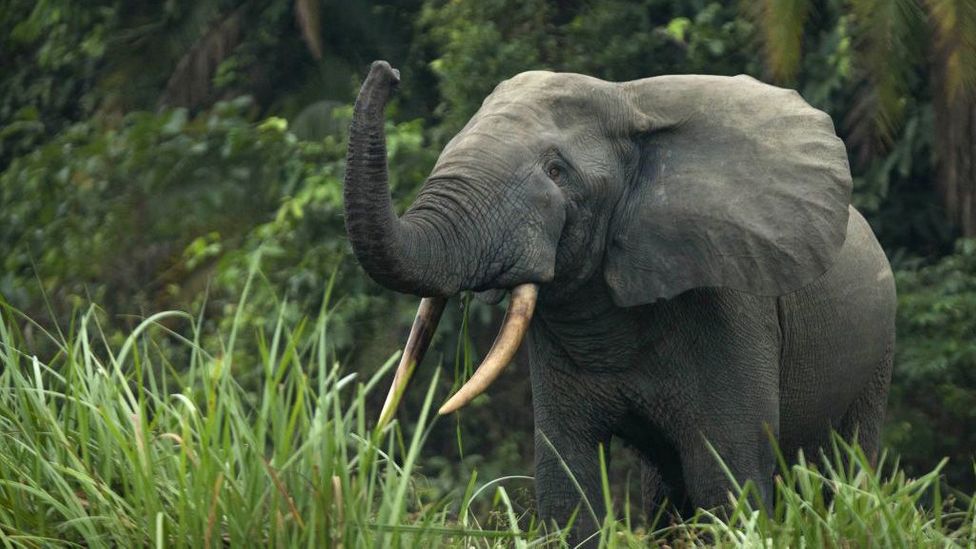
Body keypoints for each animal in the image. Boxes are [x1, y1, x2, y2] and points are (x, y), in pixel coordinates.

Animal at [344, 60, 900, 540]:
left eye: (556, 171)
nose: (387, 73)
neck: (629, 104)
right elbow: (567, 479)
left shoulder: (731, 308)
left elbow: (726, 476)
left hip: (877, 356)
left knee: (846, 467)